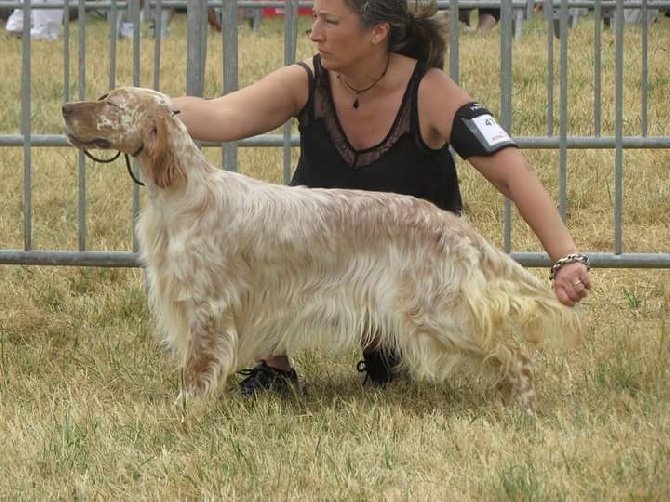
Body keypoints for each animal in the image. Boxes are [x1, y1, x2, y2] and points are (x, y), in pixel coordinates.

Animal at [63, 87, 584, 416]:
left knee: (514, 352)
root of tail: (451, 224)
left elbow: (196, 369)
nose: (65, 106)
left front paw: (184, 410)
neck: (183, 191)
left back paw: (523, 410)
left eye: (110, 101)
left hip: (438, 312)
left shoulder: (208, 307)